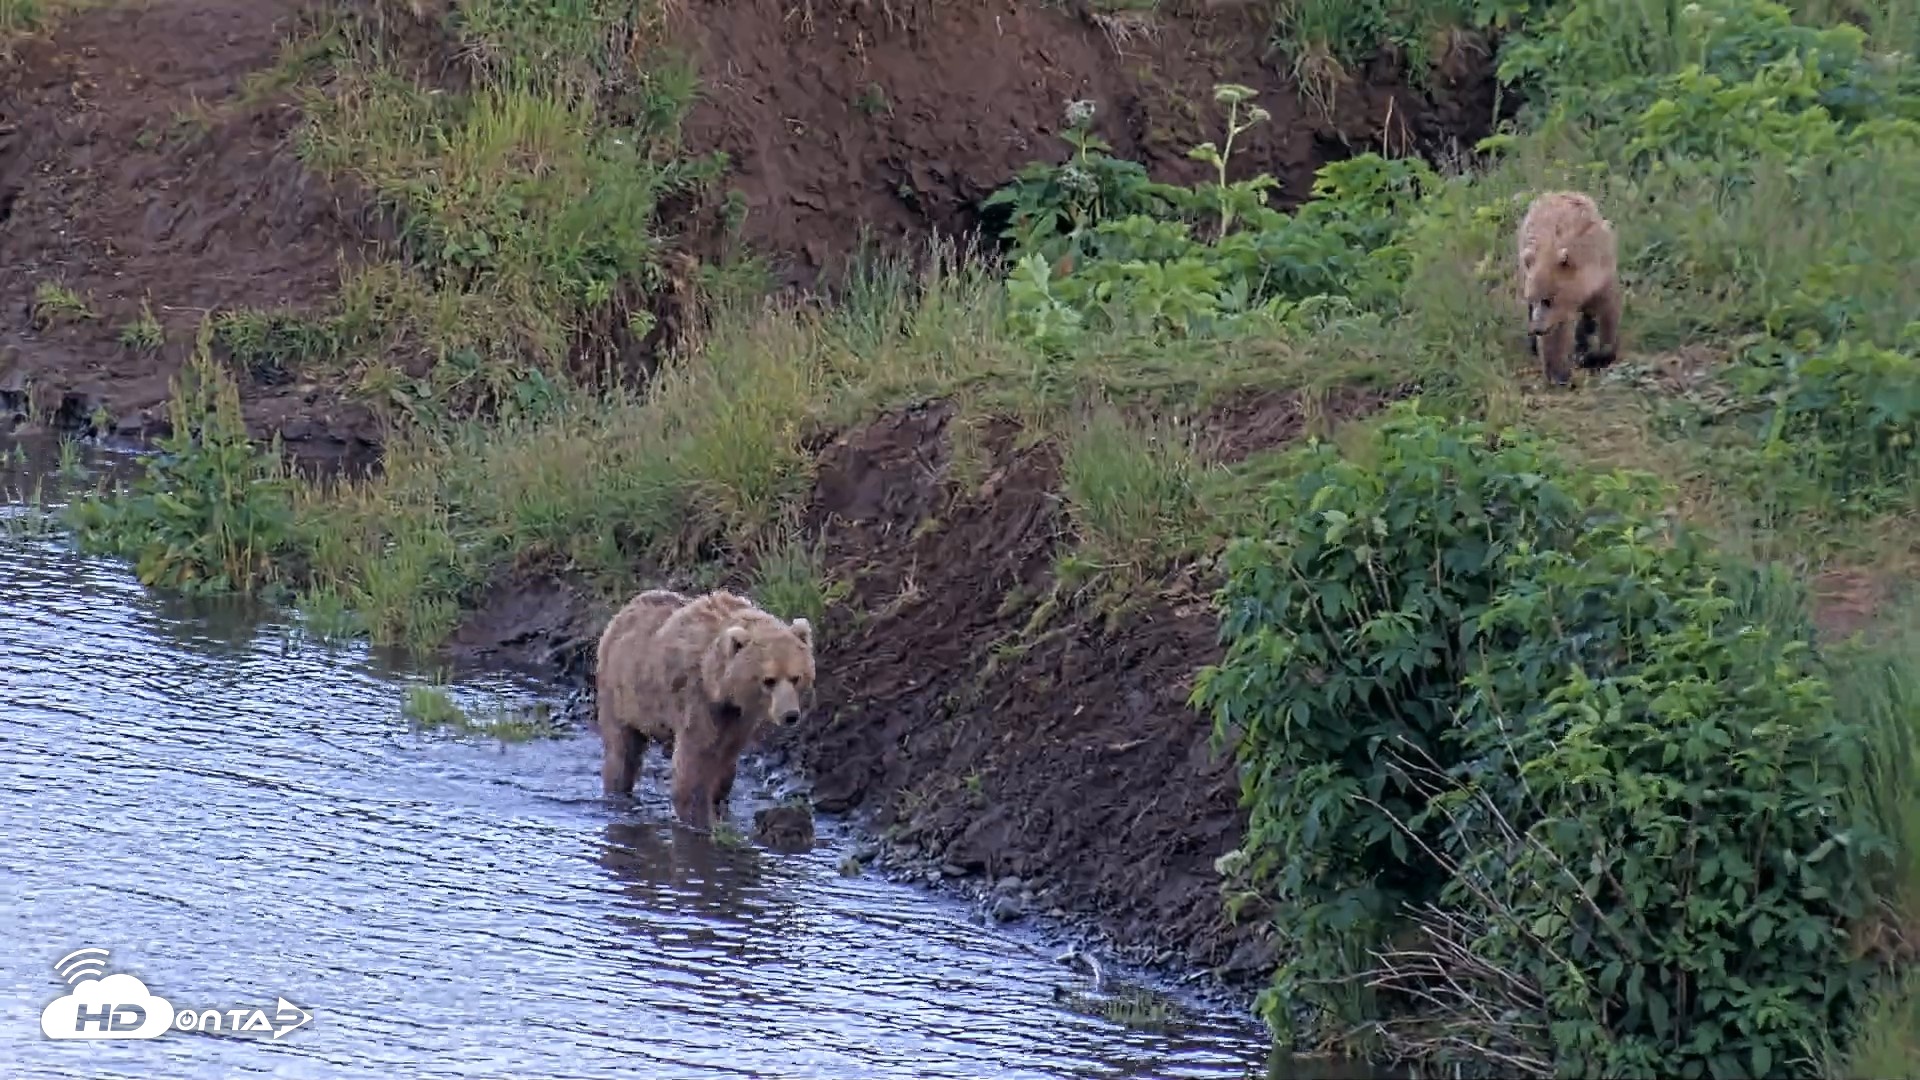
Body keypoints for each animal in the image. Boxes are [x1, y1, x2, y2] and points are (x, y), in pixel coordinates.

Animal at [594, 588, 816, 833]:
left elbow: (727, 754)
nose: (790, 715)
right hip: (622, 691)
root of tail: (623, 611)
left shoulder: (738, 717)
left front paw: (719, 800)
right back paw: (618, 792)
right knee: (623, 749)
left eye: (796, 677)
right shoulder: (697, 699)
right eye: (769, 680)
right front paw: (702, 818)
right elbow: (696, 759)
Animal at [1516, 190, 1622, 387]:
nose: (1537, 329)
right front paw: (1558, 374)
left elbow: (1607, 314)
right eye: (1533, 299)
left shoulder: (1603, 278)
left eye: (1547, 300)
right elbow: (1556, 336)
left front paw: (1598, 357)